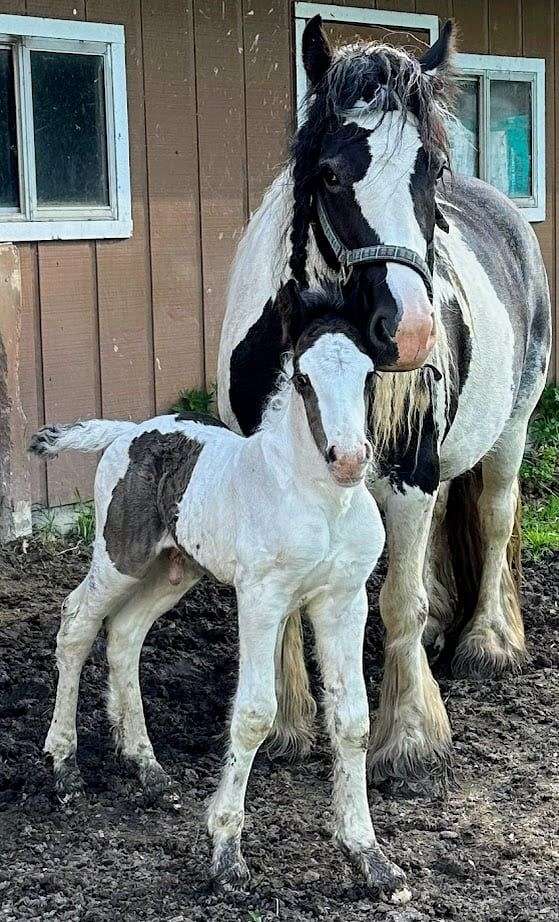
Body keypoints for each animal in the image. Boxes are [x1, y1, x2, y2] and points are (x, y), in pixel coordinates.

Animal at [29, 282, 409, 895]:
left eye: (369, 376)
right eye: (303, 380)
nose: (349, 460)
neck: (320, 502)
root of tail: (127, 433)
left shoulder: (344, 599)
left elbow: (353, 719)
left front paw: (370, 858)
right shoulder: (262, 600)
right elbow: (253, 713)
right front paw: (226, 852)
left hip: (174, 570)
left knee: (125, 634)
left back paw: (147, 767)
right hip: (121, 558)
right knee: (76, 623)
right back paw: (64, 767)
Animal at [216, 17, 552, 794]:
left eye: (432, 171)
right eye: (331, 173)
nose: (412, 331)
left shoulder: (408, 473)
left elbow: (397, 598)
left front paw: (409, 737)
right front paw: (288, 723)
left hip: (510, 432)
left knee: (492, 521)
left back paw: (486, 641)